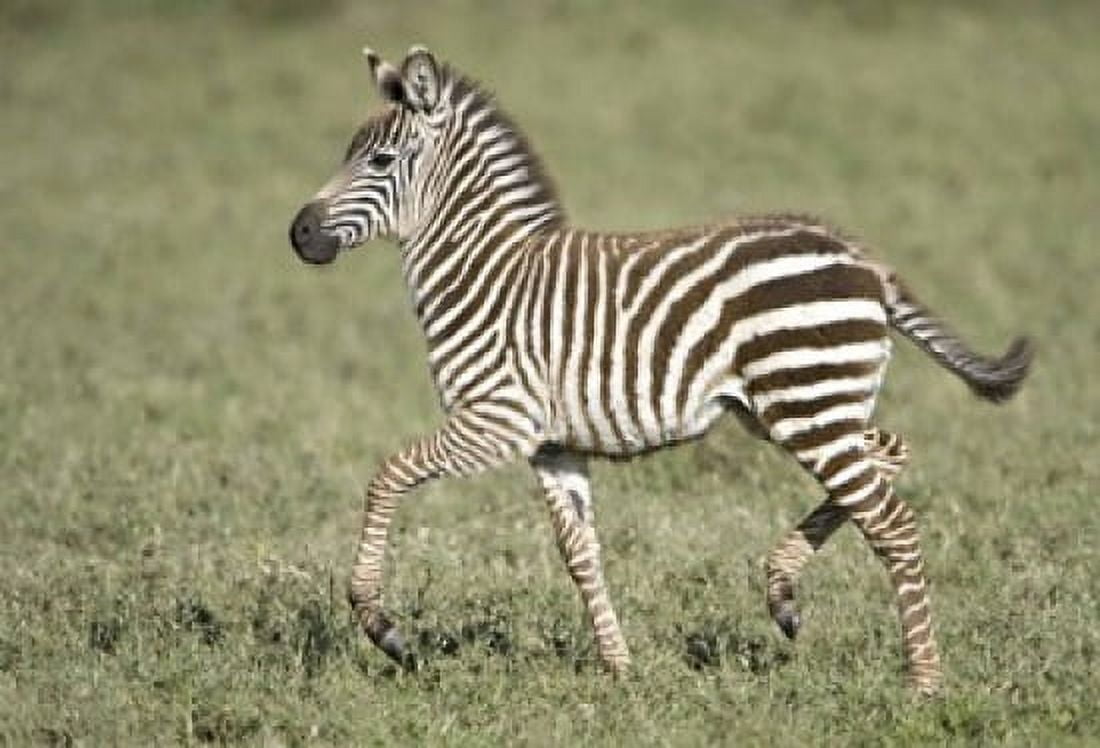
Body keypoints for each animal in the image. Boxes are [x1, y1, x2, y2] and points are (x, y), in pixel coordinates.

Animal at [288, 45, 1032, 694]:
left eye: (381, 159)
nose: (299, 234)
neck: (484, 273)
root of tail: (863, 258)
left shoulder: (497, 421)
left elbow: (387, 475)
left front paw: (380, 624)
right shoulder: (552, 444)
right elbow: (580, 554)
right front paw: (620, 668)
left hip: (806, 401)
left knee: (893, 524)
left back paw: (924, 683)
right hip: (798, 407)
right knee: (888, 455)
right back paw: (783, 591)